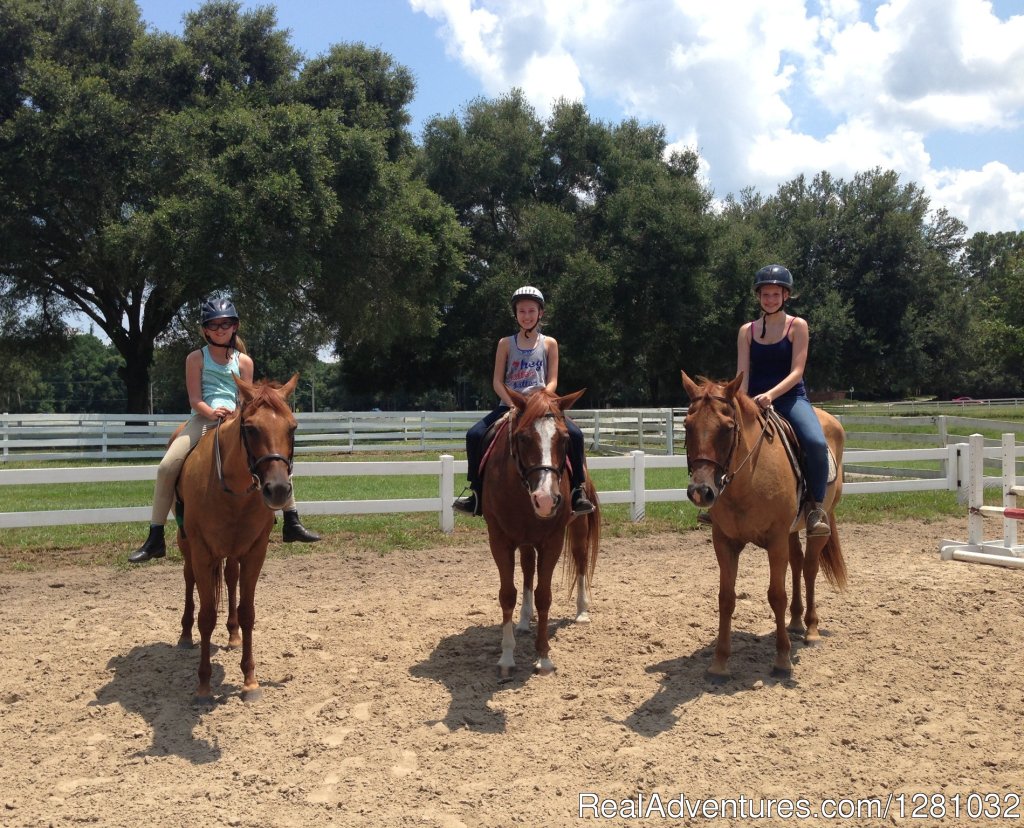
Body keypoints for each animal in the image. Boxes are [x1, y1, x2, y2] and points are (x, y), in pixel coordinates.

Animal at [174, 374, 296, 695]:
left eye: (292, 427)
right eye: (251, 428)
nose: (278, 490)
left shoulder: (254, 552)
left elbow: (247, 612)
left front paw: (250, 680)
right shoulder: (203, 553)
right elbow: (206, 616)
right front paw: (204, 684)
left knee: (230, 578)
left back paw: (233, 635)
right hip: (186, 545)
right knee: (189, 579)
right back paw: (184, 636)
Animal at [481, 386, 598, 679]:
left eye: (564, 439)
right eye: (523, 438)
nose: (545, 500)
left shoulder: (552, 541)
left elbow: (544, 596)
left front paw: (543, 657)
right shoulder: (500, 540)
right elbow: (507, 594)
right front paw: (506, 657)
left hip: (578, 526)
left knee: (580, 559)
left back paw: (582, 611)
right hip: (524, 541)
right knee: (527, 569)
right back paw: (524, 620)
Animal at [679, 372, 847, 679]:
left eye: (728, 427)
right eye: (687, 425)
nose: (700, 491)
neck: (748, 478)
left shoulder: (775, 540)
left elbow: (776, 595)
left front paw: (782, 659)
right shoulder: (724, 542)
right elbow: (726, 598)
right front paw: (719, 662)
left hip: (820, 522)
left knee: (809, 569)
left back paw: (811, 629)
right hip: (791, 531)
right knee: (797, 563)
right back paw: (795, 622)